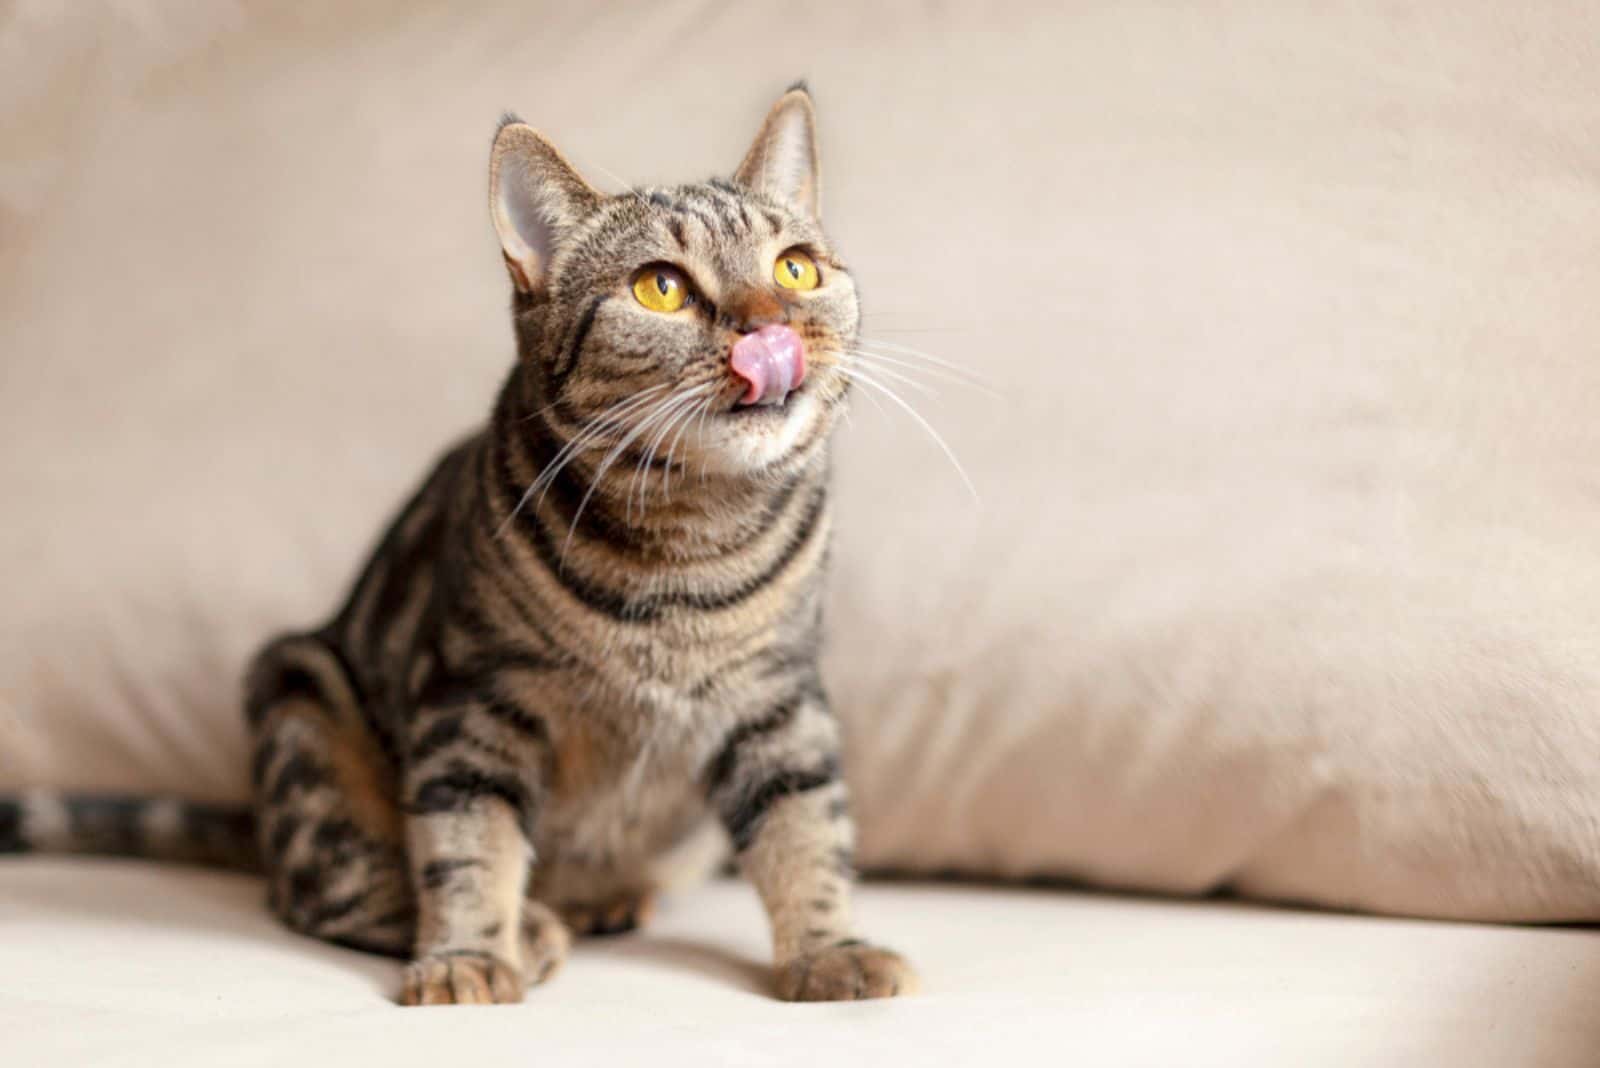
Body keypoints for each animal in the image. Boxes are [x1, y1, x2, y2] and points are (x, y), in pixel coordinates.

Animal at [0, 81, 921, 1004]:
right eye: (660, 288)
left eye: (795, 268)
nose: (771, 328)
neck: (688, 547)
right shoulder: (472, 698)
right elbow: (467, 843)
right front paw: (470, 955)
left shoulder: (780, 700)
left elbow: (807, 831)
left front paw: (830, 949)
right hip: (301, 707)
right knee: (330, 888)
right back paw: (529, 926)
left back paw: (597, 900)